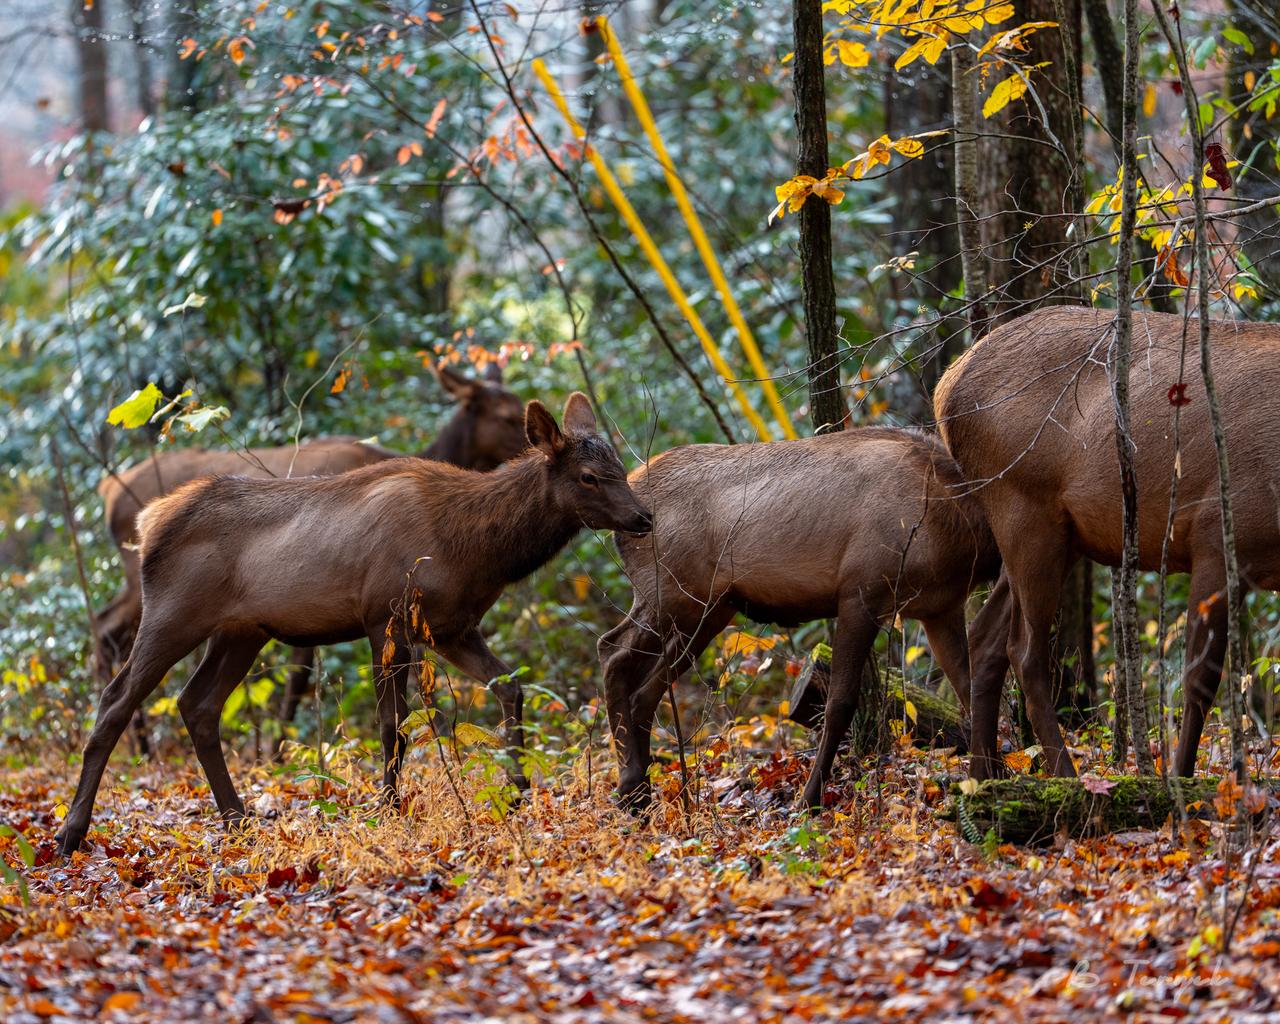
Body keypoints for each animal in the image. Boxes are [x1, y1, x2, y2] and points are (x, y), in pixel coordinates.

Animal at [92, 363, 528, 752]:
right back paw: (137, 743)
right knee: (108, 629)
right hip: (145, 580)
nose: (530, 449)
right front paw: (277, 750)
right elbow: (304, 675)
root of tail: (108, 490)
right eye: (506, 416)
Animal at [598, 427, 1003, 810]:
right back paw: (630, 785)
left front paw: (996, 777)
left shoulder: (941, 608)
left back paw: (640, 792)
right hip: (671, 594)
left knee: (643, 688)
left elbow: (967, 687)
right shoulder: (861, 592)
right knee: (612, 651)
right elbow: (840, 701)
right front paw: (809, 799)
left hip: (710, 610)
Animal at [934, 305, 1280, 780]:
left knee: (985, 638)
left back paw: (985, 775)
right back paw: (1064, 775)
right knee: (1024, 652)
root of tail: (944, 388)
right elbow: (1199, 679)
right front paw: (1180, 780)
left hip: (1058, 536)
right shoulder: (1214, 536)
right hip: (1023, 508)